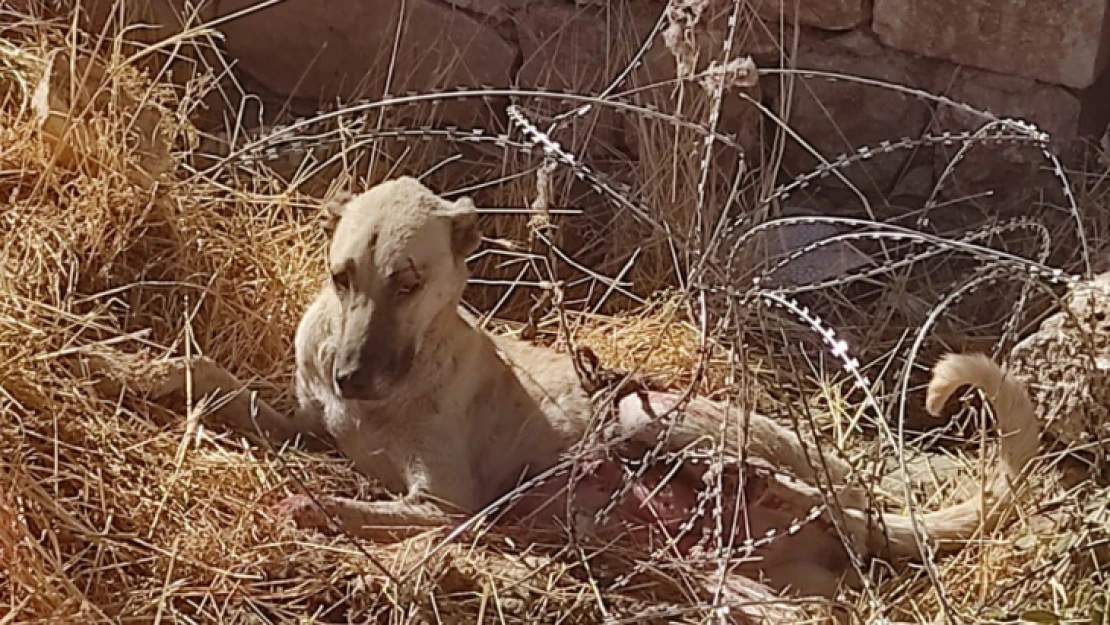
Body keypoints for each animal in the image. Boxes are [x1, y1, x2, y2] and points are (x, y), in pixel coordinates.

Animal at [91, 175, 1043, 599]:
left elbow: (359, 507)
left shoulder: (443, 500)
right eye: (341, 275)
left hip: (651, 416)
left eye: (409, 282)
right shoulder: (302, 418)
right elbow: (208, 377)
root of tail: (860, 498)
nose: (351, 378)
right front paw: (123, 366)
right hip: (710, 567)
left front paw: (313, 506)